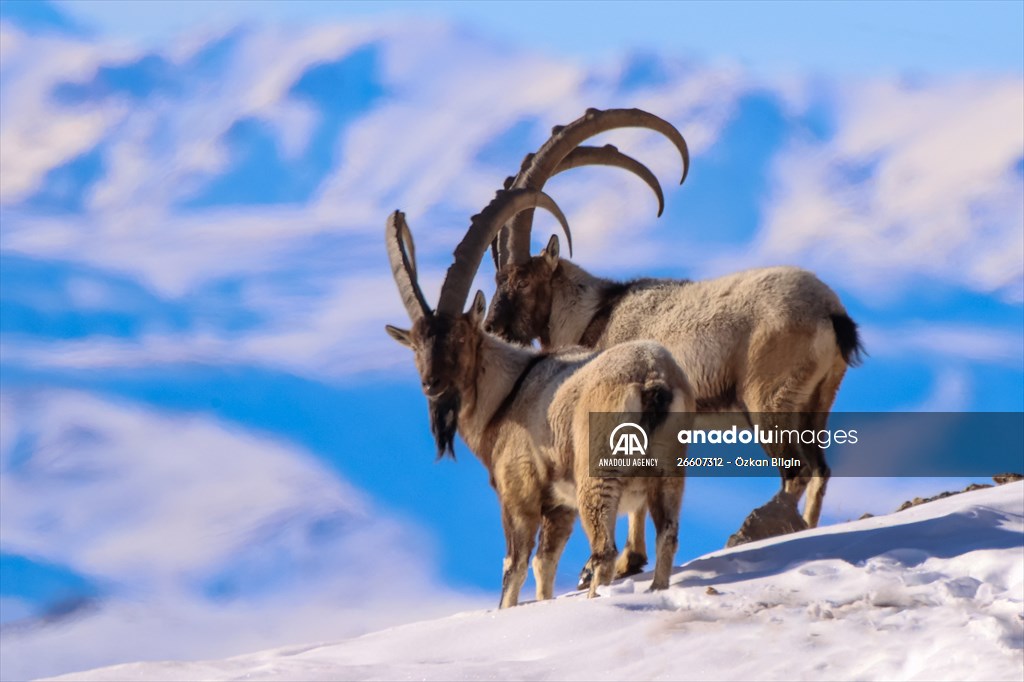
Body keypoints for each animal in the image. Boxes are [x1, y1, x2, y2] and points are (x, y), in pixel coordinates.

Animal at [385, 189, 695, 608]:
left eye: (461, 337)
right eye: (416, 346)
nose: (432, 383)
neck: (506, 394)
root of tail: (652, 380)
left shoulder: (519, 497)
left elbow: (513, 569)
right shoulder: (560, 508)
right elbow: (544, 565)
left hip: (597, 477)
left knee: (604, 552)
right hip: (668, 474)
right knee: (668, 537)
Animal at [484, 108, 864, 584]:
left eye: (521, 281)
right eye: (498, 280)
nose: (492, 326)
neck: (595, 314)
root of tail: (830, 311)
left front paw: (623, 562)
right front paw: (631, 561)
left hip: (769, 401)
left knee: (797, 470)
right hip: (817, 398)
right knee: (821, 469)